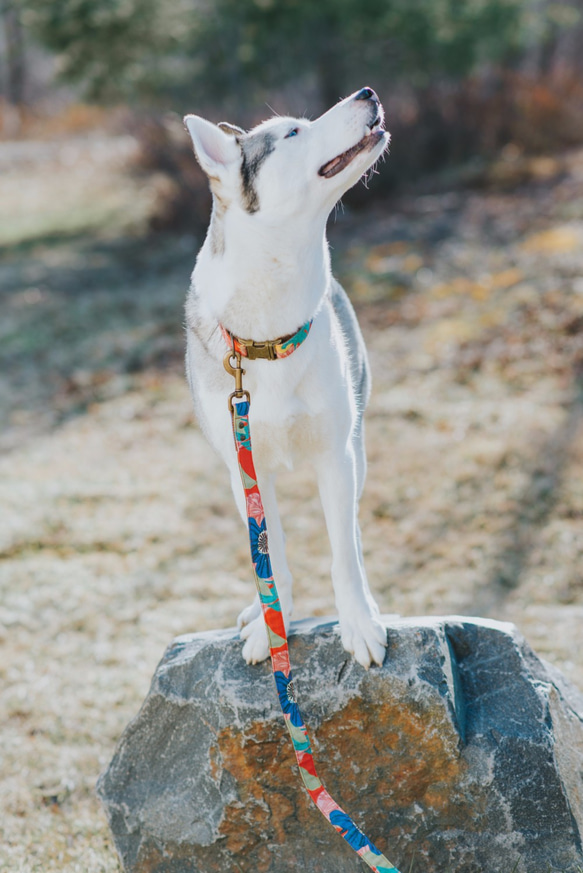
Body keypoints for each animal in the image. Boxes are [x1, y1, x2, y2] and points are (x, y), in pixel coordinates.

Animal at [185, 87, 390, 668]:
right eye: (293, 133)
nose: (367, 92)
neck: (269, 335)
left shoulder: (336, 457)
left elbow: (344, 554)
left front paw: (358, 621)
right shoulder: (244, 469)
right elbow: (270, 552)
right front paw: (271, 626)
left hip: (356, 449)